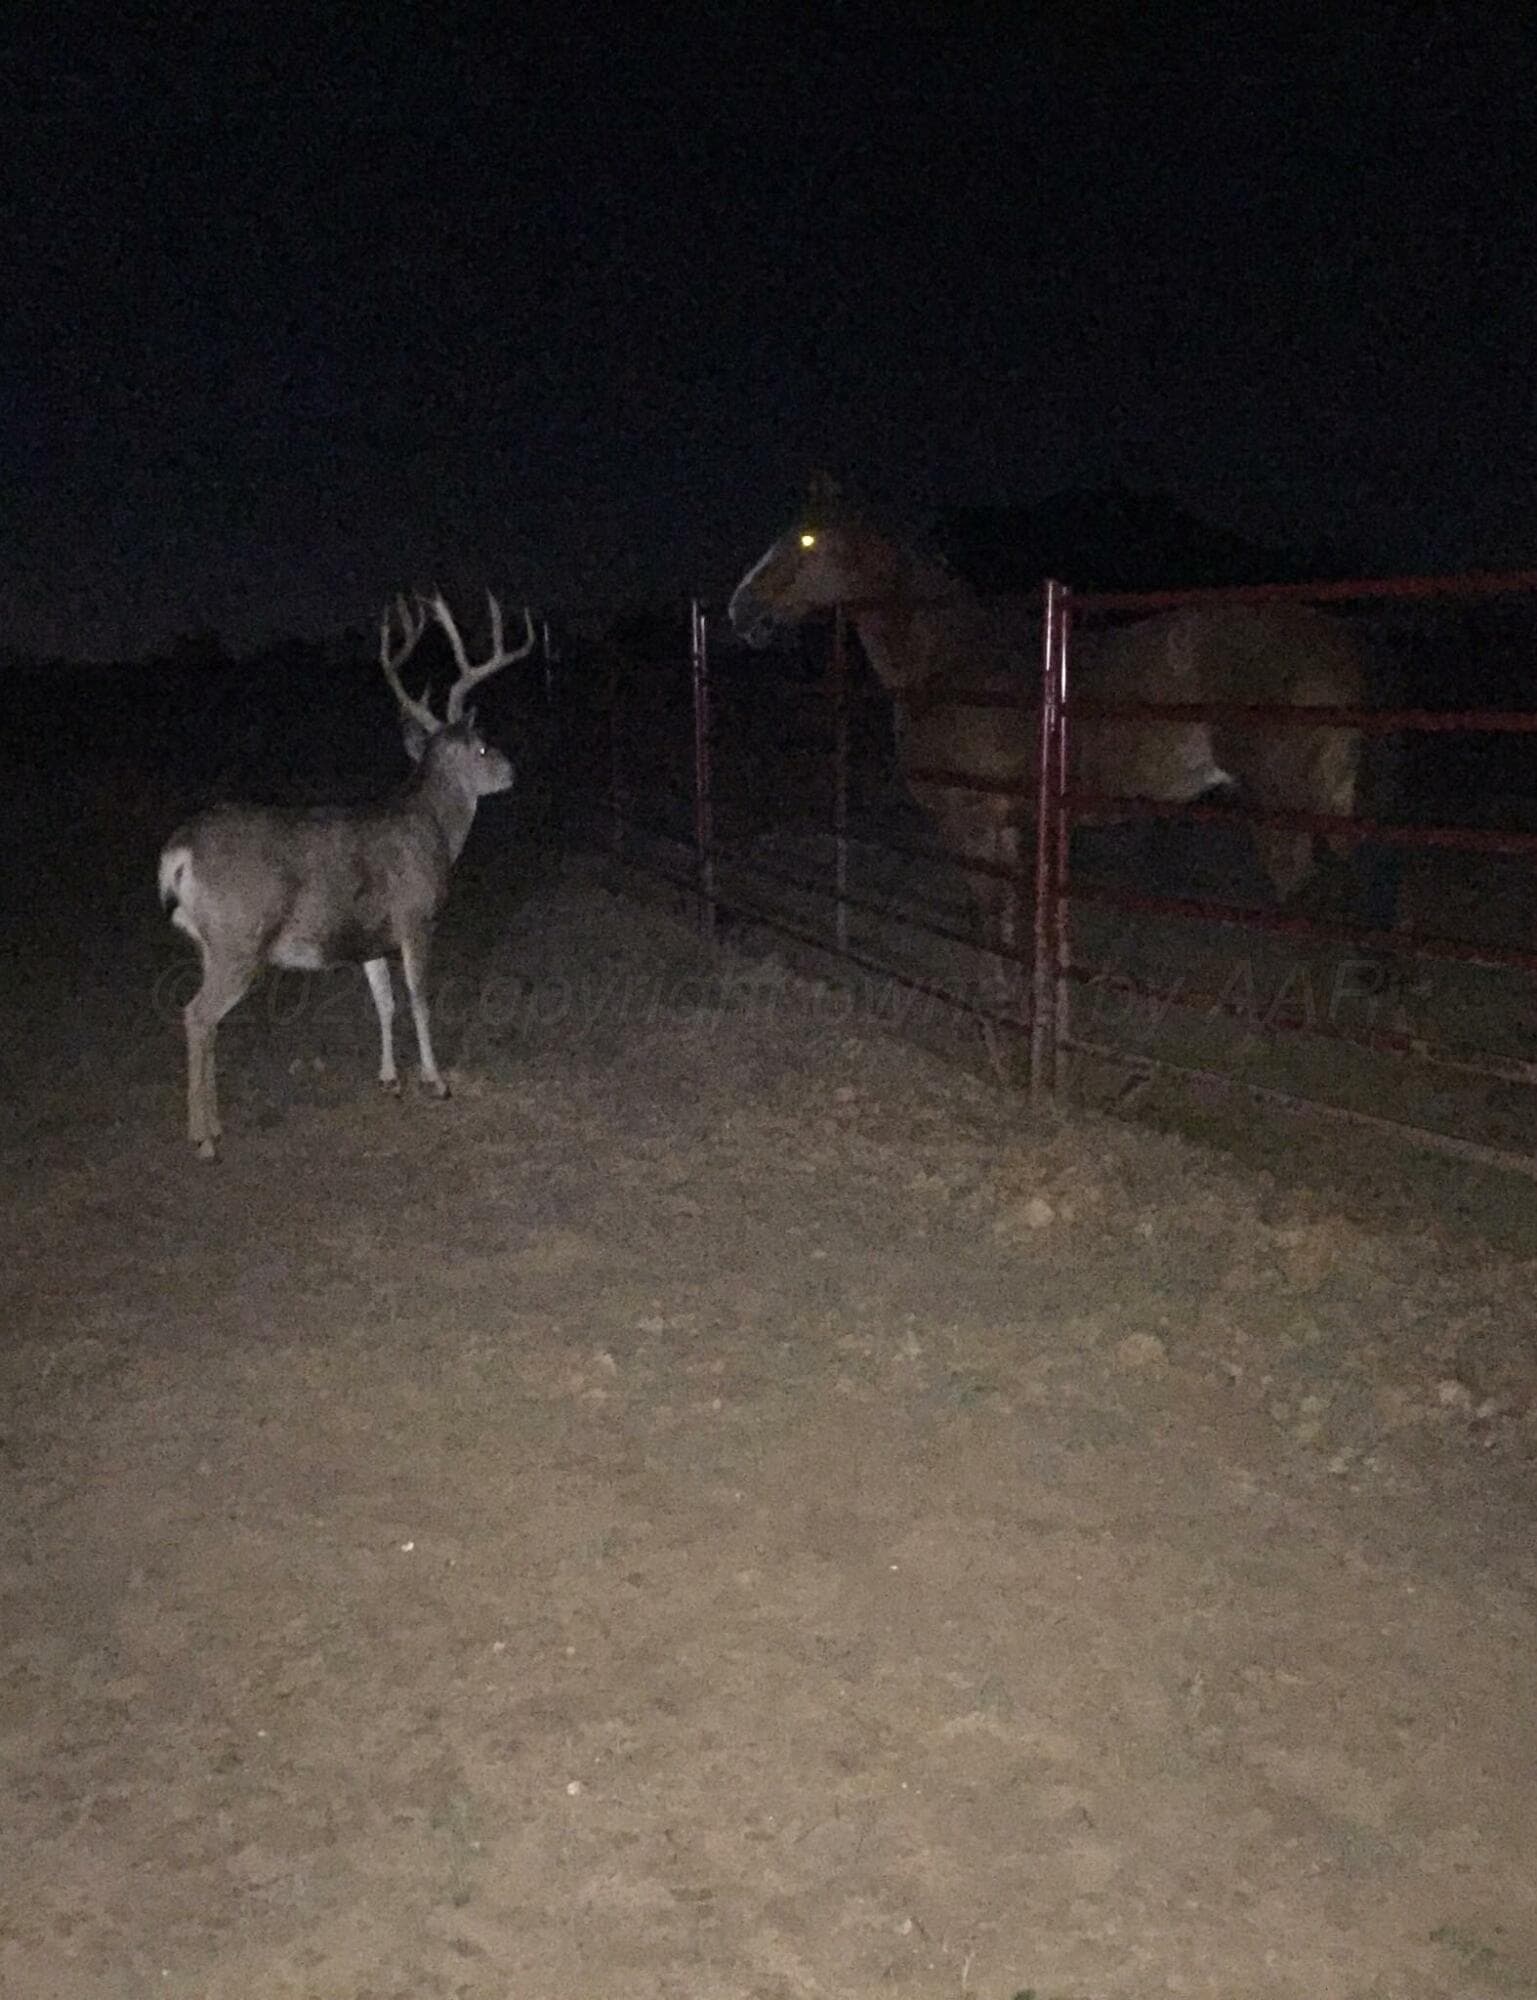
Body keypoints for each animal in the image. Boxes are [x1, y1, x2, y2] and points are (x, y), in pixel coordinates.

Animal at [727, 484, 1374, 997]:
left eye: (806, 540)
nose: (740, 610)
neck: (950, 662)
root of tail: (1336, 644)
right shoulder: (1010, 821)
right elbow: (1011, 910)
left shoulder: (970, 817)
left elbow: (985, 906)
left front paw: (992, 1001)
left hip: (1281, 806)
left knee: (1306, 898)